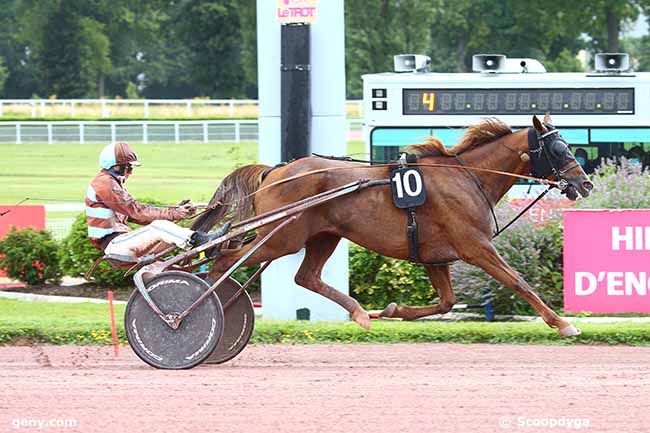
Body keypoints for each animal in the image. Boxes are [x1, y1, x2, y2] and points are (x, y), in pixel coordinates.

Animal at [192, 115, 592, 338]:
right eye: (559, 148)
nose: (585, 183)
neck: (468, 177)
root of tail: (275, 171)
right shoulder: (476, 247)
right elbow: (519, 282)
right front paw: (562, 323)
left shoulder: (436, 256)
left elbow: (446, 302)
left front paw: (389, 311)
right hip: (282, 238)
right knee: (225, 258)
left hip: (323, 236)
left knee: (306, 277)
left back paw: (359, 312)